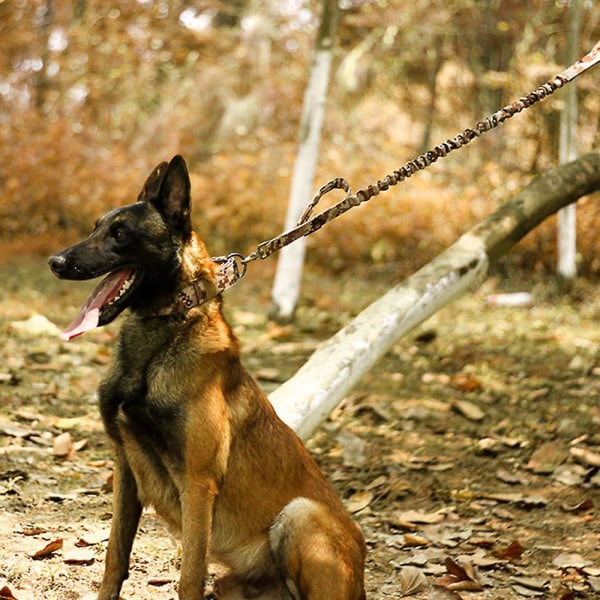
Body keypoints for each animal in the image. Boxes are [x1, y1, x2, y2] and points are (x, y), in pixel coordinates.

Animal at [49, 156, 366, 600]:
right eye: (96, 227)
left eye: (121, 233)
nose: (56, 262)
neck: (166, 329)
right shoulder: (125, 469)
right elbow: (115, 556)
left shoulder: (198, 483)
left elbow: (189, 577)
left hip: (300, 514)